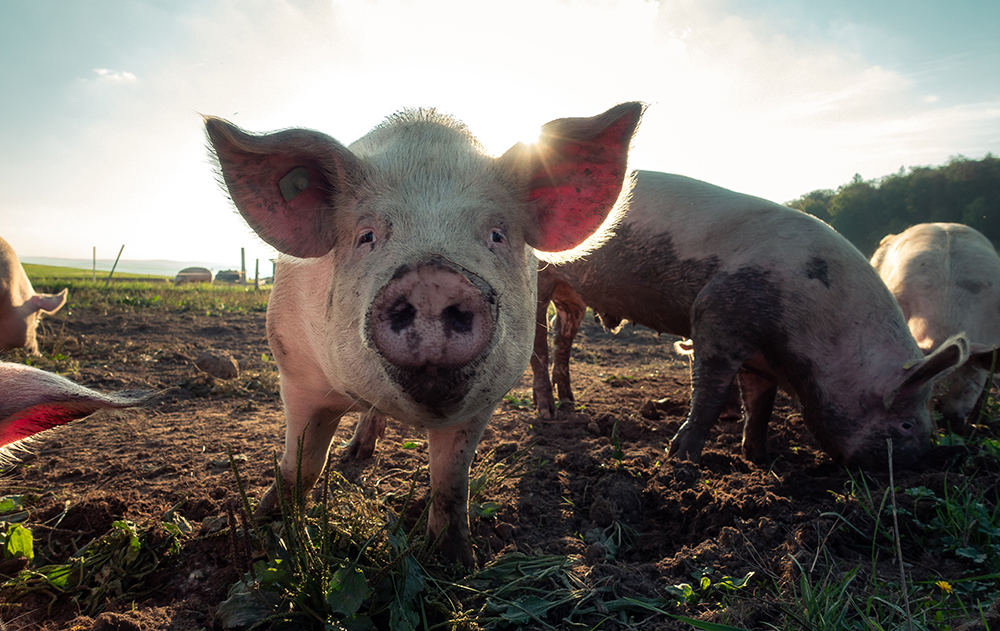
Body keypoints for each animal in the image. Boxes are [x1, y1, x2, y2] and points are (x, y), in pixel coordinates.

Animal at [205, 103, 640, 568]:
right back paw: (354, 456)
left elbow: (450, 481)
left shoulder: (486, 399)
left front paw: (457, 563)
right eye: (367, 236)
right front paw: (265, 533)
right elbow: (301, 466)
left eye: (496, 235)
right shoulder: (295, 369)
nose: (433, 279)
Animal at [532, 170, 968, 472]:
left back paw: (570, 404)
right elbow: (709, 395)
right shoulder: (716, 317)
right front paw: (680, 461)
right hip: (539, 277)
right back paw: (547, 412)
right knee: (538, 346)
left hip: (573, 298)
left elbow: (761, 405)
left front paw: (761, 459)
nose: (923, 463)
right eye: (906, 424)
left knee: (561, 338)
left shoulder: (762, 359)